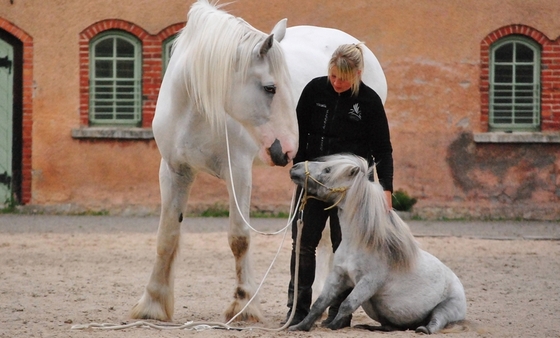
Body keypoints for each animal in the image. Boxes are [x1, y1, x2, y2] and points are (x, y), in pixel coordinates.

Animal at [286, 154, 466, 334]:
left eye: (328, 170)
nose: (295, 167)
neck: (359, 243)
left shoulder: (369, 282)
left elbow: (347, 304)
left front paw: (333, 325)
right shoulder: (338, 276)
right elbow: (319, 304)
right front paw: (299, 326)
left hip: (446, 308)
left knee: (436, 320)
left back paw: (424, 329)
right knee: (389, 326)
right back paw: (368, 327)